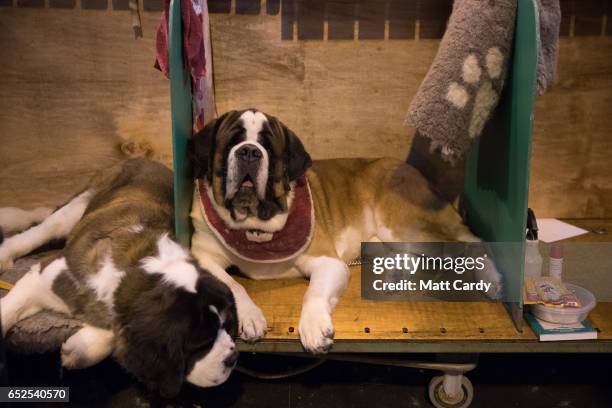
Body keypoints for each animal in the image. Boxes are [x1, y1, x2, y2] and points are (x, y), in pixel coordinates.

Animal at [0, 159, 239, 398]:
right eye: (202, 344)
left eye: (227, 325)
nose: (233, 358)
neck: (138, 271)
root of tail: (144, 159)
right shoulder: (45, 274)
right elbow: (11, 307)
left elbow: (116, 329)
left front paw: (80, 348)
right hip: (74, 209)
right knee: (35, 232)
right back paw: (5, 254)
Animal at [188, 108, 502, 354]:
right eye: (233, 141)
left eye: (268, 146)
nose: (250, 151)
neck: (255, 226)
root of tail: (414, 171)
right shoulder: (201, 255)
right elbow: (231, 284)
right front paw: (249, 314)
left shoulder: (329, 262)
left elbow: (313, 293)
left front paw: (313, 325)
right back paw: (396, 272)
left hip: (401, 222)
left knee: (469, 240)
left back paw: (492, 279)